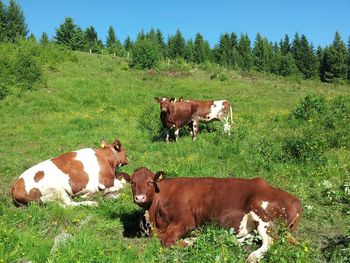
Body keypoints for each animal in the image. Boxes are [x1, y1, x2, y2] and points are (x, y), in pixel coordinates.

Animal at [126, 168, 304, 262]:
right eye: (132, 183)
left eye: (150, 182)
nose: (140, 197)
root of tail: (296, 201)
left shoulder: (185, 220)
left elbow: (166, 241)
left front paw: (191, 240)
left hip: (262, 214)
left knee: (270, 241)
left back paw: (253, 256)